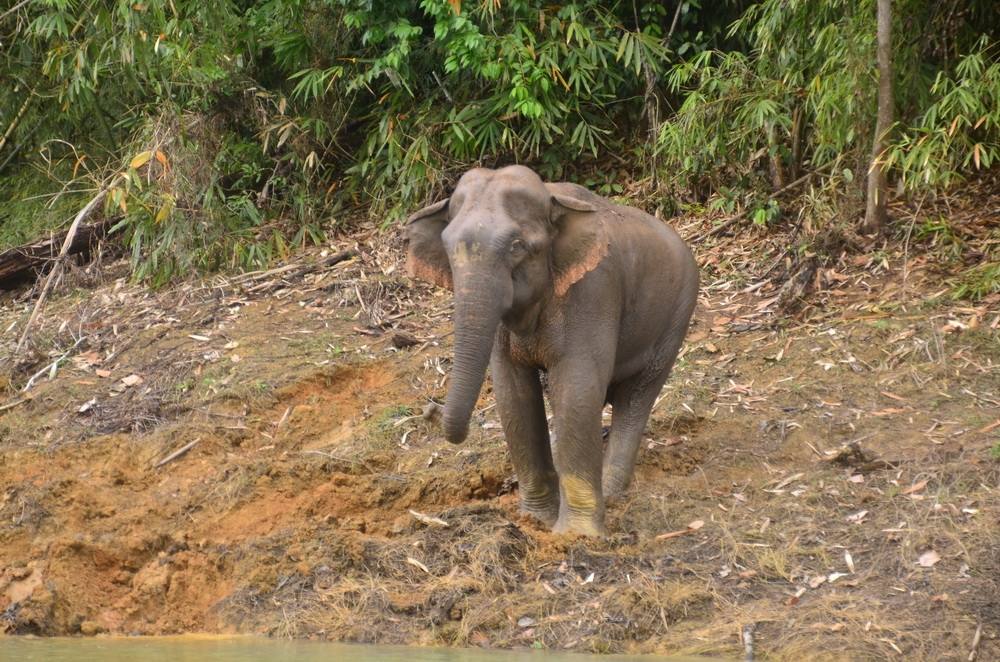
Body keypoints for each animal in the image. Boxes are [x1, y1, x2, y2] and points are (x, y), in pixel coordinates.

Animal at [406, 166, 696, 540]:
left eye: (517, 246)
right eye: (447, 248)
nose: (429, 409)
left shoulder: (593, 291)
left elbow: (577, 389)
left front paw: (576, 535)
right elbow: (514, 393)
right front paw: (537, 521)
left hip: (676, 316)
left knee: (638, 396)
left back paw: (611, 491)